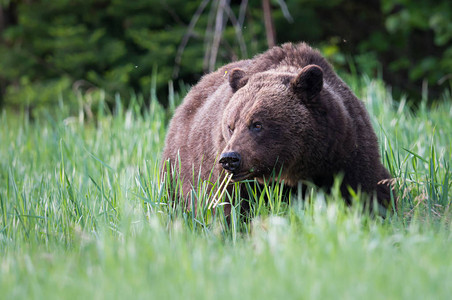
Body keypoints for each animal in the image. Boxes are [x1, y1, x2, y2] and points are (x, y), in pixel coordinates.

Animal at [162, 41, 392, 211]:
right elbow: (225, 207)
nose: (230, 159)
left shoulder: (345, 156)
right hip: (175, 167)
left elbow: (368, 194)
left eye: (257, 124)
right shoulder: (227, 181)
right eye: (230, 126)